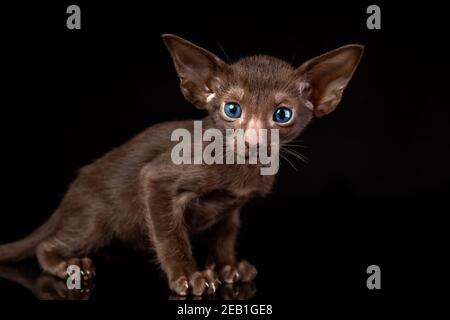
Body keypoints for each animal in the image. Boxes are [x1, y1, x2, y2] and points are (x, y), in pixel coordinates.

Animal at [0, 34, 362, 296]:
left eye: (282, 114)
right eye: (232, 109)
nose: (253, 141)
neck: (241, 170)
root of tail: (71, 192)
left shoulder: (232, 208)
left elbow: (225, 235)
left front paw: (228, 268)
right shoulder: (157, 178)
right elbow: (170, 235)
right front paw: (188, 275)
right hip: (95, 220)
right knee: (47, 245)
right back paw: (67, 265)